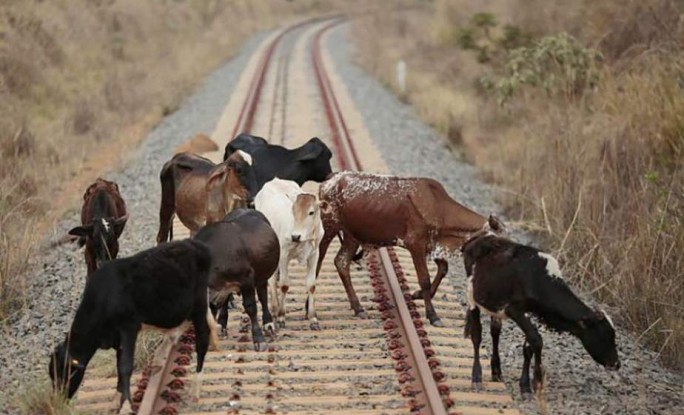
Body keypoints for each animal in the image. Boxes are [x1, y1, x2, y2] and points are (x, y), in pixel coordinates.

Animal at [194, 210, 280, 352]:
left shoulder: (247, 279)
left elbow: (251, 307)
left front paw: (259, 339)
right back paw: (222, 323)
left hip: (262, 276)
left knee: (263, 297)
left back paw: (268, 324)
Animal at [255, 179, 324, 332]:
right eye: (293, 211)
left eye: (311, 212)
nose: (295, 236)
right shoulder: (283, 255)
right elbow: (284, 285)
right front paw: (281, 317)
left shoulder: (314, 254)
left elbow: (311, 285)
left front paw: (313, 319)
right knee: (272, 280)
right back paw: (274, 310)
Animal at [316, 171, 502, 326]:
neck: (439, 208)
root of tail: (332, 178)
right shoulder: (416, 245)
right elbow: (425, 279)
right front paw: (432, 315)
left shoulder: (432, 245)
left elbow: (443, 269)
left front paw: (418, 294)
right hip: (328, 227)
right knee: (318, 260)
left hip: (351, 236)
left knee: (341, 262)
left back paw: (358, 307)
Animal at [460, 234, 620, 396]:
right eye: (604, 336)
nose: (616, 363)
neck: (536, 278)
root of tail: (481, 237)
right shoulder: (514, 310)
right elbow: (537, 340)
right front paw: (537, 381)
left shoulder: (532, 313)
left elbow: (528, 346)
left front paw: (525, 385)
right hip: (472, 296)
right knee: (477, 335)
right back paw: (477, 376)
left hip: (495, 304)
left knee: (495, 332)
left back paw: (496, 371)